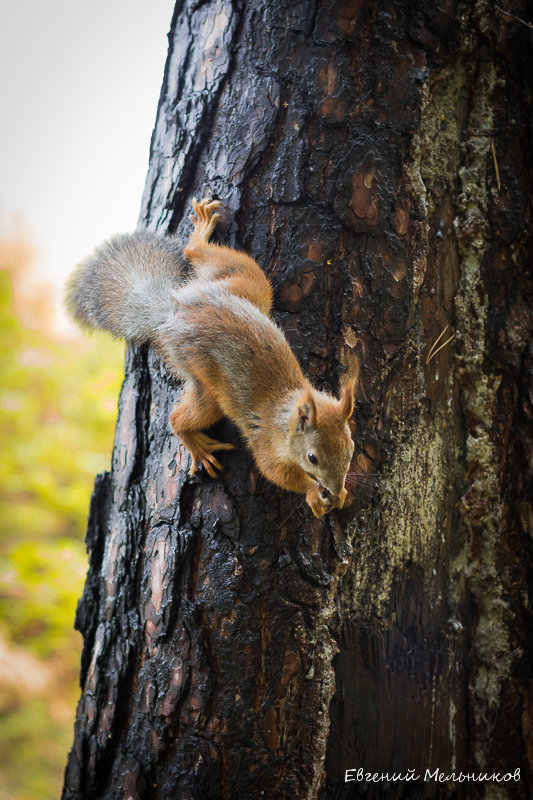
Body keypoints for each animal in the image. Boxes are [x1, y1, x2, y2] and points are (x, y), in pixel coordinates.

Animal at [67, 197, 358, 516]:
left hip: (245, 283)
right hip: (203, 378)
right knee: (179, 418)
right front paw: (313, 493)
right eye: (312, 458)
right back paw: (199, 446)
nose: (335, 488)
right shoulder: (266, 445)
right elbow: (277, 473)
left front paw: (342, 494)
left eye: (351, 448)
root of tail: (176, 309)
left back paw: (202, 233)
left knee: (207, 258)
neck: (286, 414)